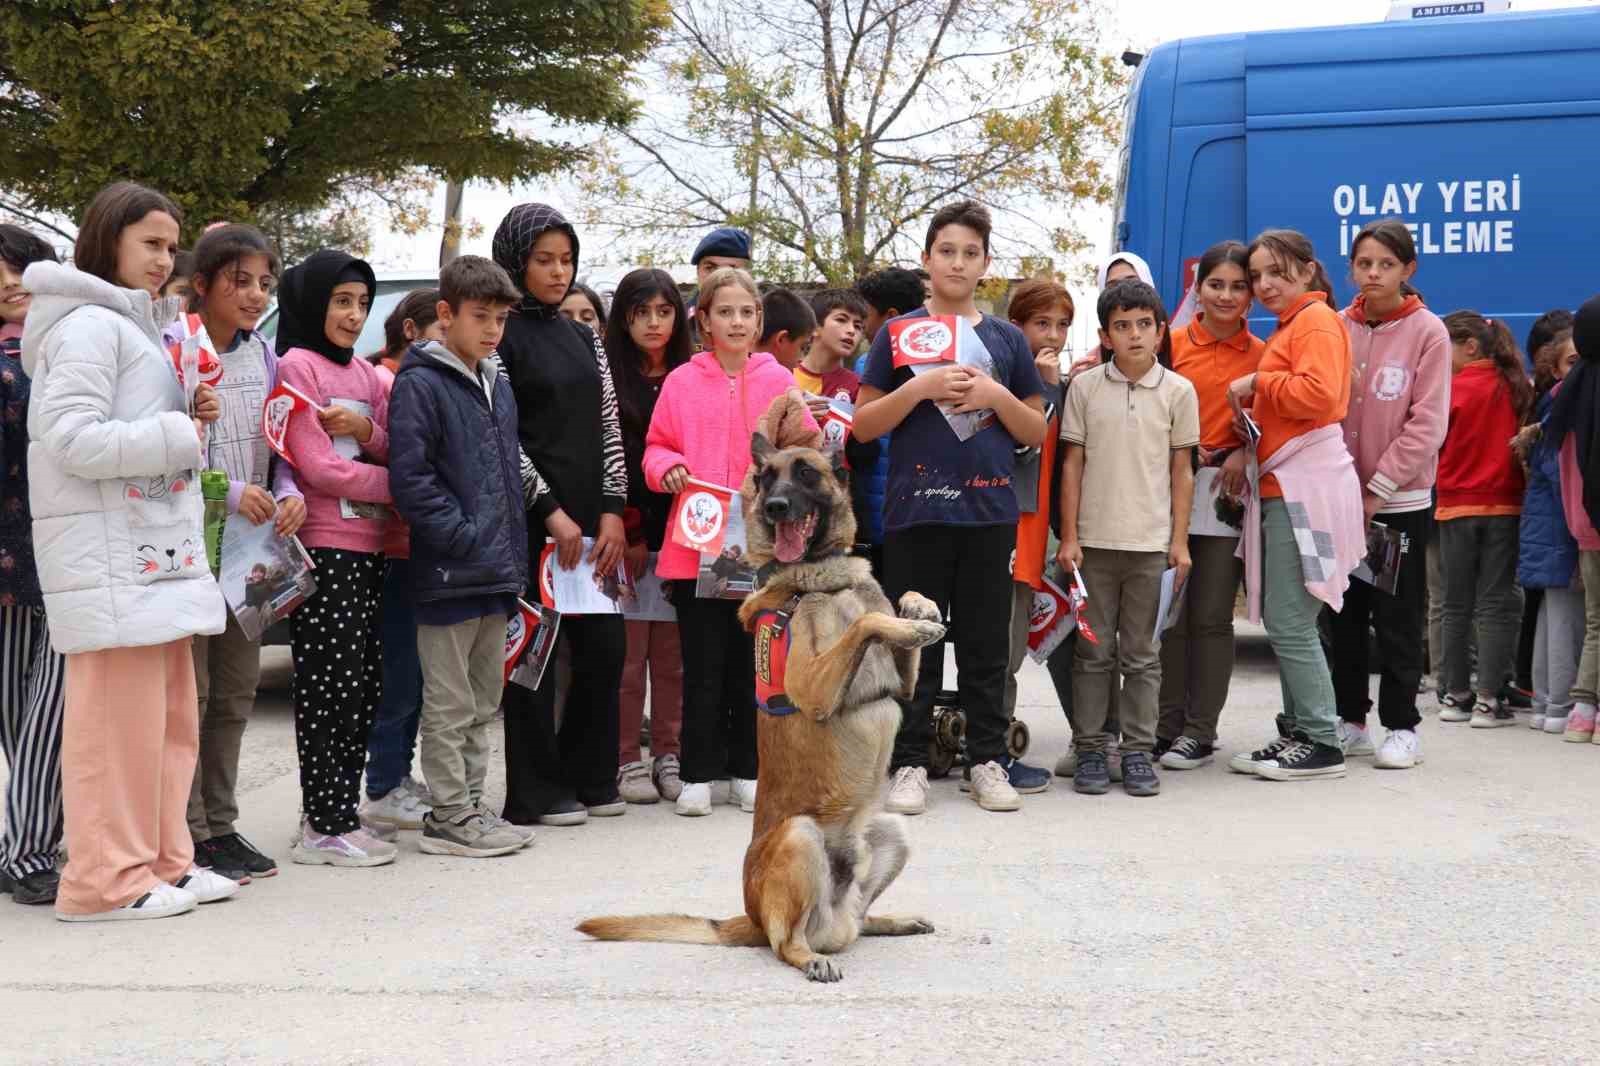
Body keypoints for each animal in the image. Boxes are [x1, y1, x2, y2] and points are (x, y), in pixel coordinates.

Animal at [579, 422, 940, 979]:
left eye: (806, 473)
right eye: (766, 476)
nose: (774, 506)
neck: (824, 578)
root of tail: (748, 917)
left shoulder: (899, 683)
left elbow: (899, 613)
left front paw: (920, 611)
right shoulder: (813, 688)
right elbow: (867, 623)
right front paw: (905, 622)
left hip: (893, 834)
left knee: (859, 920)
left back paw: (891, 920)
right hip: (799, 836)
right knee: (786, 943)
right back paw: (810, 958)